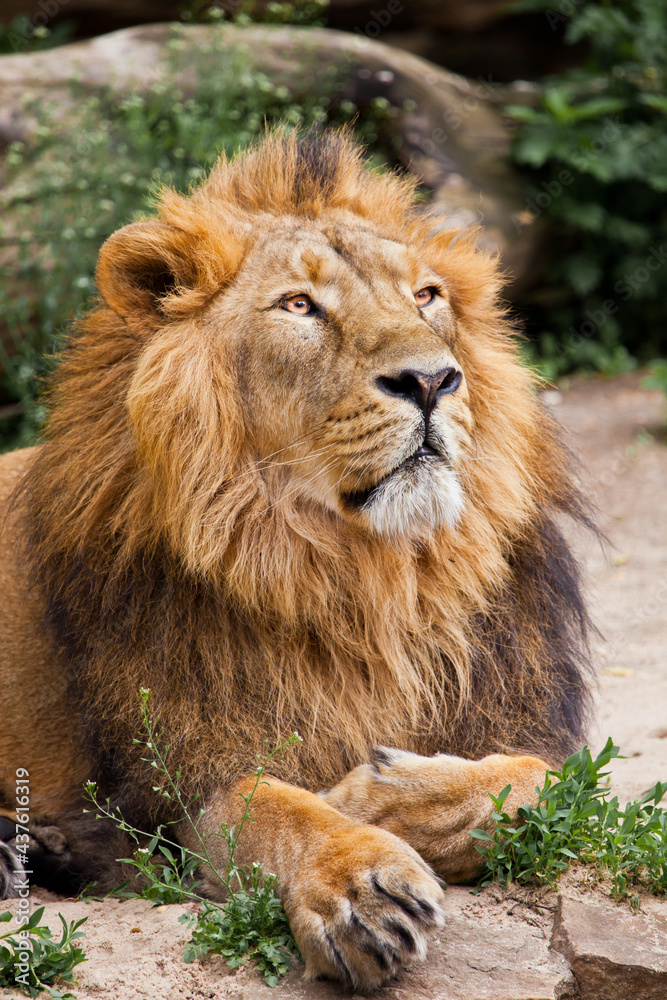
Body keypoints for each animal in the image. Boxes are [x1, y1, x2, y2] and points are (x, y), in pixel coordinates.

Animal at [0, 131, 592, 992]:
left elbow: (545, 778)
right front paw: (357, 879)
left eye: (425, 295)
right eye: (299, 306)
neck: (363, 583)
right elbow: (274, 809)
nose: (431, 380)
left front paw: (382, 794)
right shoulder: (183, 782)